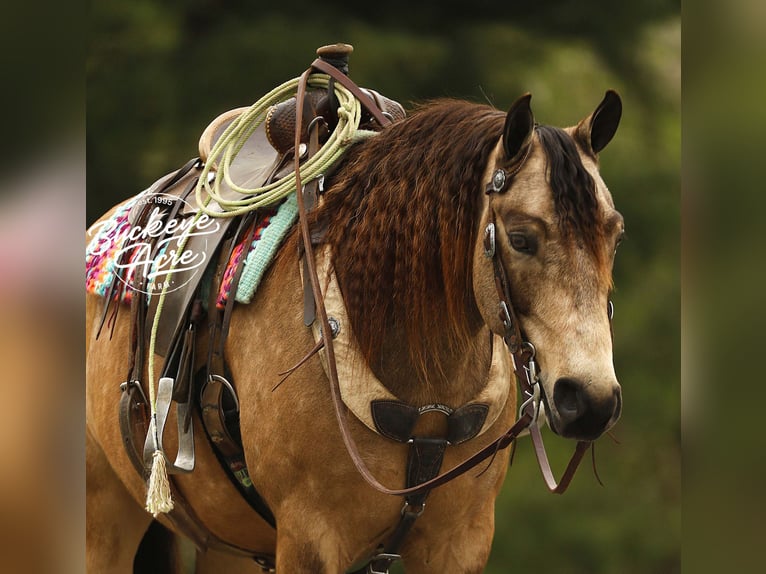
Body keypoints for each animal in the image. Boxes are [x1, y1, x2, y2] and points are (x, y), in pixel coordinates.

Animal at [86, 83, 624, 573]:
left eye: (614, 235)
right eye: (520, 238)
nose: (590, 400)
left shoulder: (461, 542)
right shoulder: (310, 538)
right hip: (105, 516)